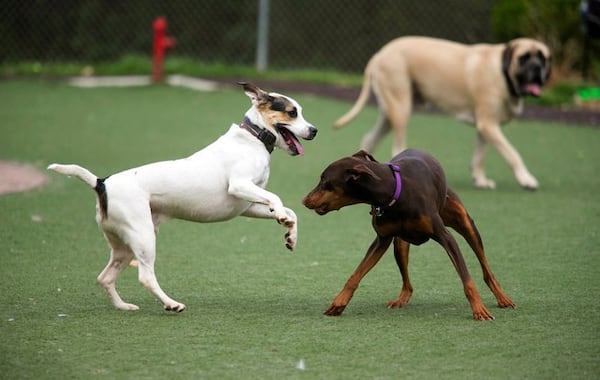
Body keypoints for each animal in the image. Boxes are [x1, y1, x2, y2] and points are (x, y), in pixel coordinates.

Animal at [47, 82, 318, 312]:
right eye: (292, 113)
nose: (314, 130)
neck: (253, 138)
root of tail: (102, 183)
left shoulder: (246, 207)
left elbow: (290, 211)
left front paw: (290, 235)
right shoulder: (239, 186)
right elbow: (276, 198)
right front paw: (282, 217)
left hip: (124, 245)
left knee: (105, 278)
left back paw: (124, 307)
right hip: (144, 238)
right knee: (145, 276)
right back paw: (171, 304)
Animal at [304, 148, 516, 320]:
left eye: (324, 181)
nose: (304, 200)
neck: (393, 192)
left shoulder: (446, 238)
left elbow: (467, 280)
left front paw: (478, 310)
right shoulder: (381, 241)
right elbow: (355, 275)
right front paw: (339, 303)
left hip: (465, 223)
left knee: (485, 267)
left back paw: (502, 298)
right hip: (399, 244)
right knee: (407, 282)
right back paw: (401, 299)